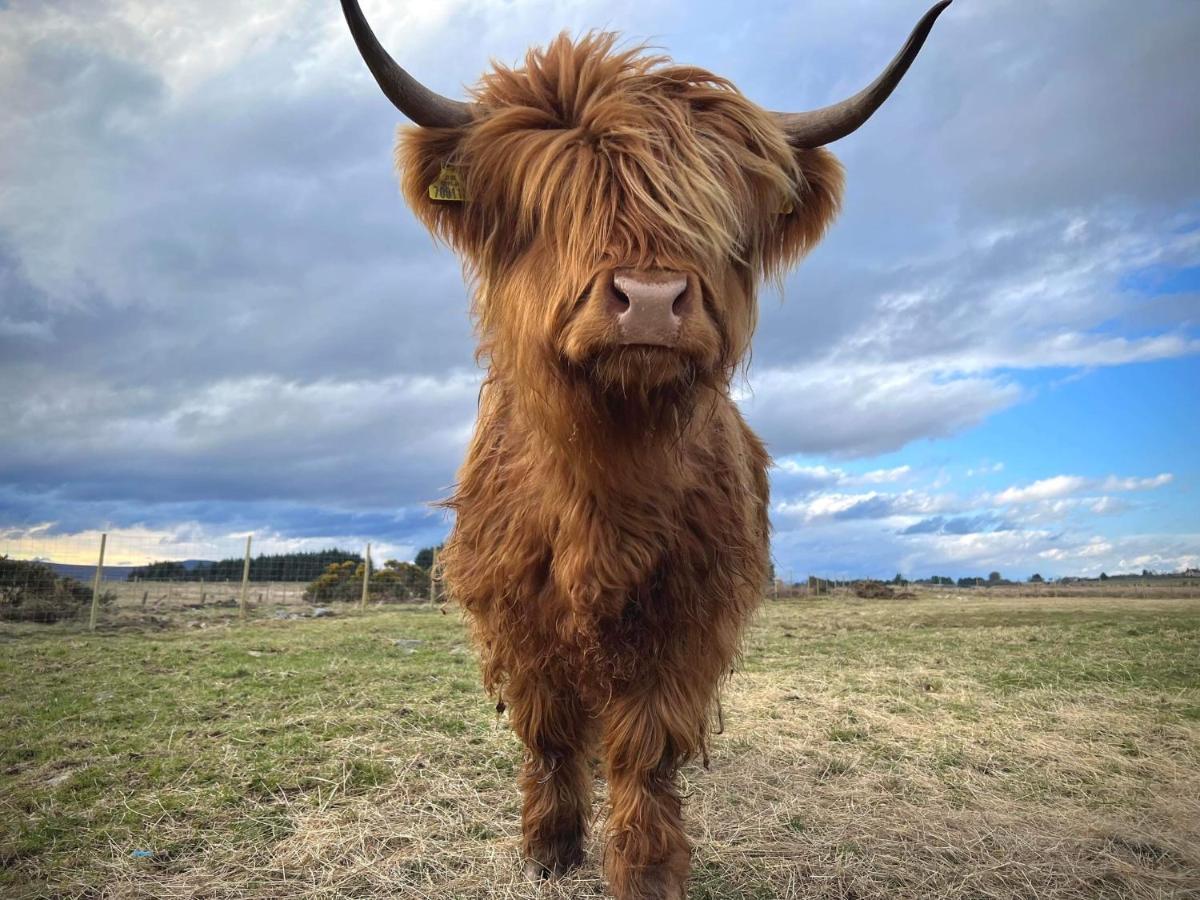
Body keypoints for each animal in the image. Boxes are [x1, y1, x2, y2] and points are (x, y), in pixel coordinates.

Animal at [343, 3, 950, 897]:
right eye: (556, 200)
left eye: (713, 211)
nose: (654, 301)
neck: (604, 488)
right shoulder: (517, 616)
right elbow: (549, 731)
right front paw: (550, 846)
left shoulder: (686, 616)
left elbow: (647, 746)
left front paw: (647, 868)